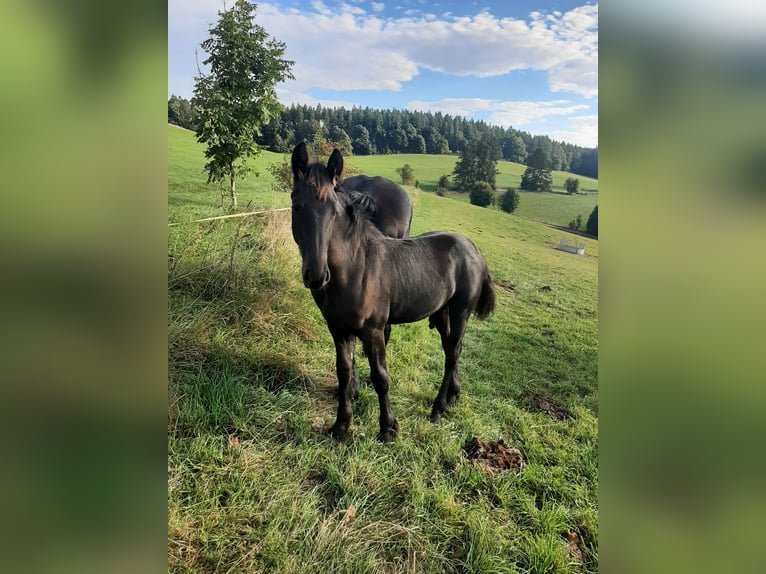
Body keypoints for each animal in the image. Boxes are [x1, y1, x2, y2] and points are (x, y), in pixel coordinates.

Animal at [290, 143, 496, 442]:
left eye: (334, 211)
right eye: (296, 205)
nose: (316, 275)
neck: (356, 268)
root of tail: (473, 248)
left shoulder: (374, 331)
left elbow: (381, 378)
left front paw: (388, 429)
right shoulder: (338, 330)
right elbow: (344, 373)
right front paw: (341, 426)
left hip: (461, 312)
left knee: (453, 353)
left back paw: (437, 410)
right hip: (441, 312)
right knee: (450, 350)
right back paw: (450, 399)